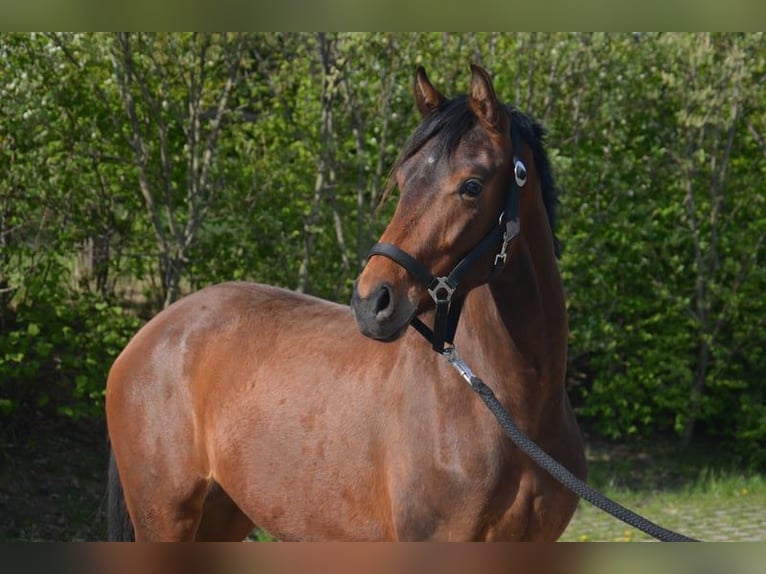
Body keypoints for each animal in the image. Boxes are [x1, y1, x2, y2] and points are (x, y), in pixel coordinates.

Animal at [105, 65, 588, 544]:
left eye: (472, 185)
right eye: (402, 181)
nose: (372, 300)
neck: (511, 407)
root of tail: (147, 336)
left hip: (223, 516)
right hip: (165, 519)